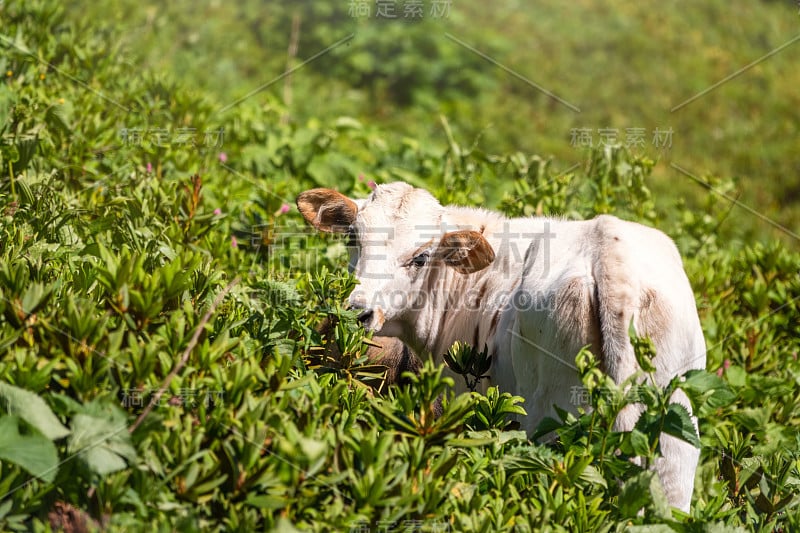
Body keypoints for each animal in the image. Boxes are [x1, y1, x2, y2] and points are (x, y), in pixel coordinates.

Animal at [298, 181, 708, 510]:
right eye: (353, 238)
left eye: (421, 257)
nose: (358, 310)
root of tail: (609, 247)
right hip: (676, 432)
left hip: (550, 418)